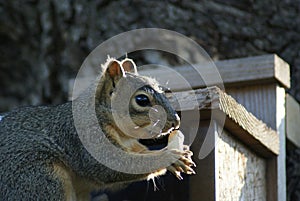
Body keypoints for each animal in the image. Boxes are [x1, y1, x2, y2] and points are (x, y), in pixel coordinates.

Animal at [0, 57, 196, 200]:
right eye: (142, 100)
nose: (176, 121)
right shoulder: (87, 136)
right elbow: (113, 165)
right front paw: (169, 157)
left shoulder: (131, 144)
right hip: (39, 179)